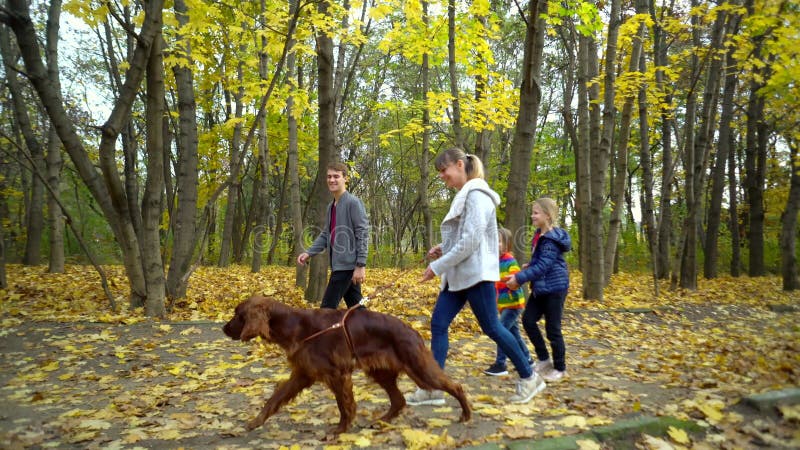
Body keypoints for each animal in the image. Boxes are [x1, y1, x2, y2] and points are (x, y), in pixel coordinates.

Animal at [220, 294, 468, 434]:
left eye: (238, 314)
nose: (223, 328)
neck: (294, 325)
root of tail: (412, 330)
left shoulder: (336, 374)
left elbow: (343, 404)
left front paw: (340, 430)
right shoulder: (303, 373)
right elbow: (274, 398)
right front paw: (255, 421)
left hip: (418, 368)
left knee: (455, 386)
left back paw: (466, 415)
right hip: (382, 372)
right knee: (399, 400)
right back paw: (381, 421)